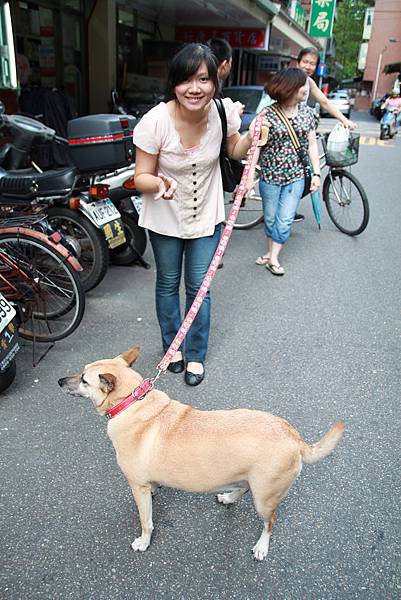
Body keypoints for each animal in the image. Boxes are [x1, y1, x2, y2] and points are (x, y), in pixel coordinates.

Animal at [58, 344, 344, 560]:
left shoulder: (137, 487)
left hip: (265, 499)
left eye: (83, 379)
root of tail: (294, 436)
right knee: (243, 487)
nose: (59, 380)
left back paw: (262, 546)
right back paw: (229, 497)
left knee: (269, 522)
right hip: (249, 478)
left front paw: (144, 541)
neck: (131, 402)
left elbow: (146, 521)